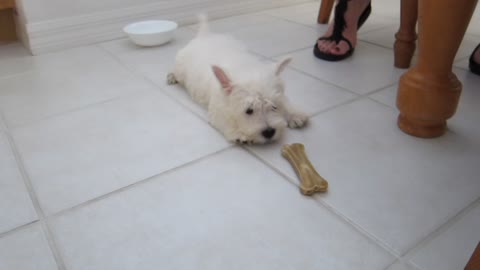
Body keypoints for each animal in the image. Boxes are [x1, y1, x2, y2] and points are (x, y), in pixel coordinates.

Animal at [168, 15, 308, 144]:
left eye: (274, 106)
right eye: (249, 111)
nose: (269, 132)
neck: (244, 68)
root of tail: (204, 35)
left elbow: (286, 101)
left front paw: (295, 115)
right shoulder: (217, 109)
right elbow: (225, 121)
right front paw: (239, 134)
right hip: (180, 66)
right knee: (177, 72)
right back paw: (171, 77)